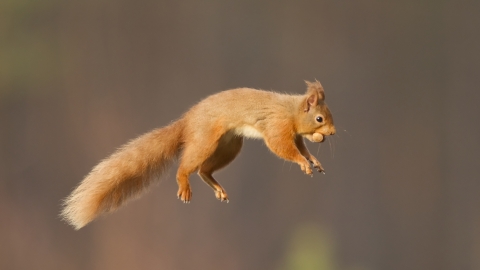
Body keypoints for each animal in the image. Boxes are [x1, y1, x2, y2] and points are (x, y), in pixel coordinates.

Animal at [60, 79, 336, 228]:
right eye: (319, 118)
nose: (333, 132)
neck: (292, 110)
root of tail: (187, 120)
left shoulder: (296, 135)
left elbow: (302, 147)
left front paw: (313, 160)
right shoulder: (277, 127)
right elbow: (283, 147)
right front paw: (302, 162)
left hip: (228, 147)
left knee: (204, 170)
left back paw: (217, 188)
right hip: (206, 140)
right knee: (187, 165)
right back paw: (184, 184)